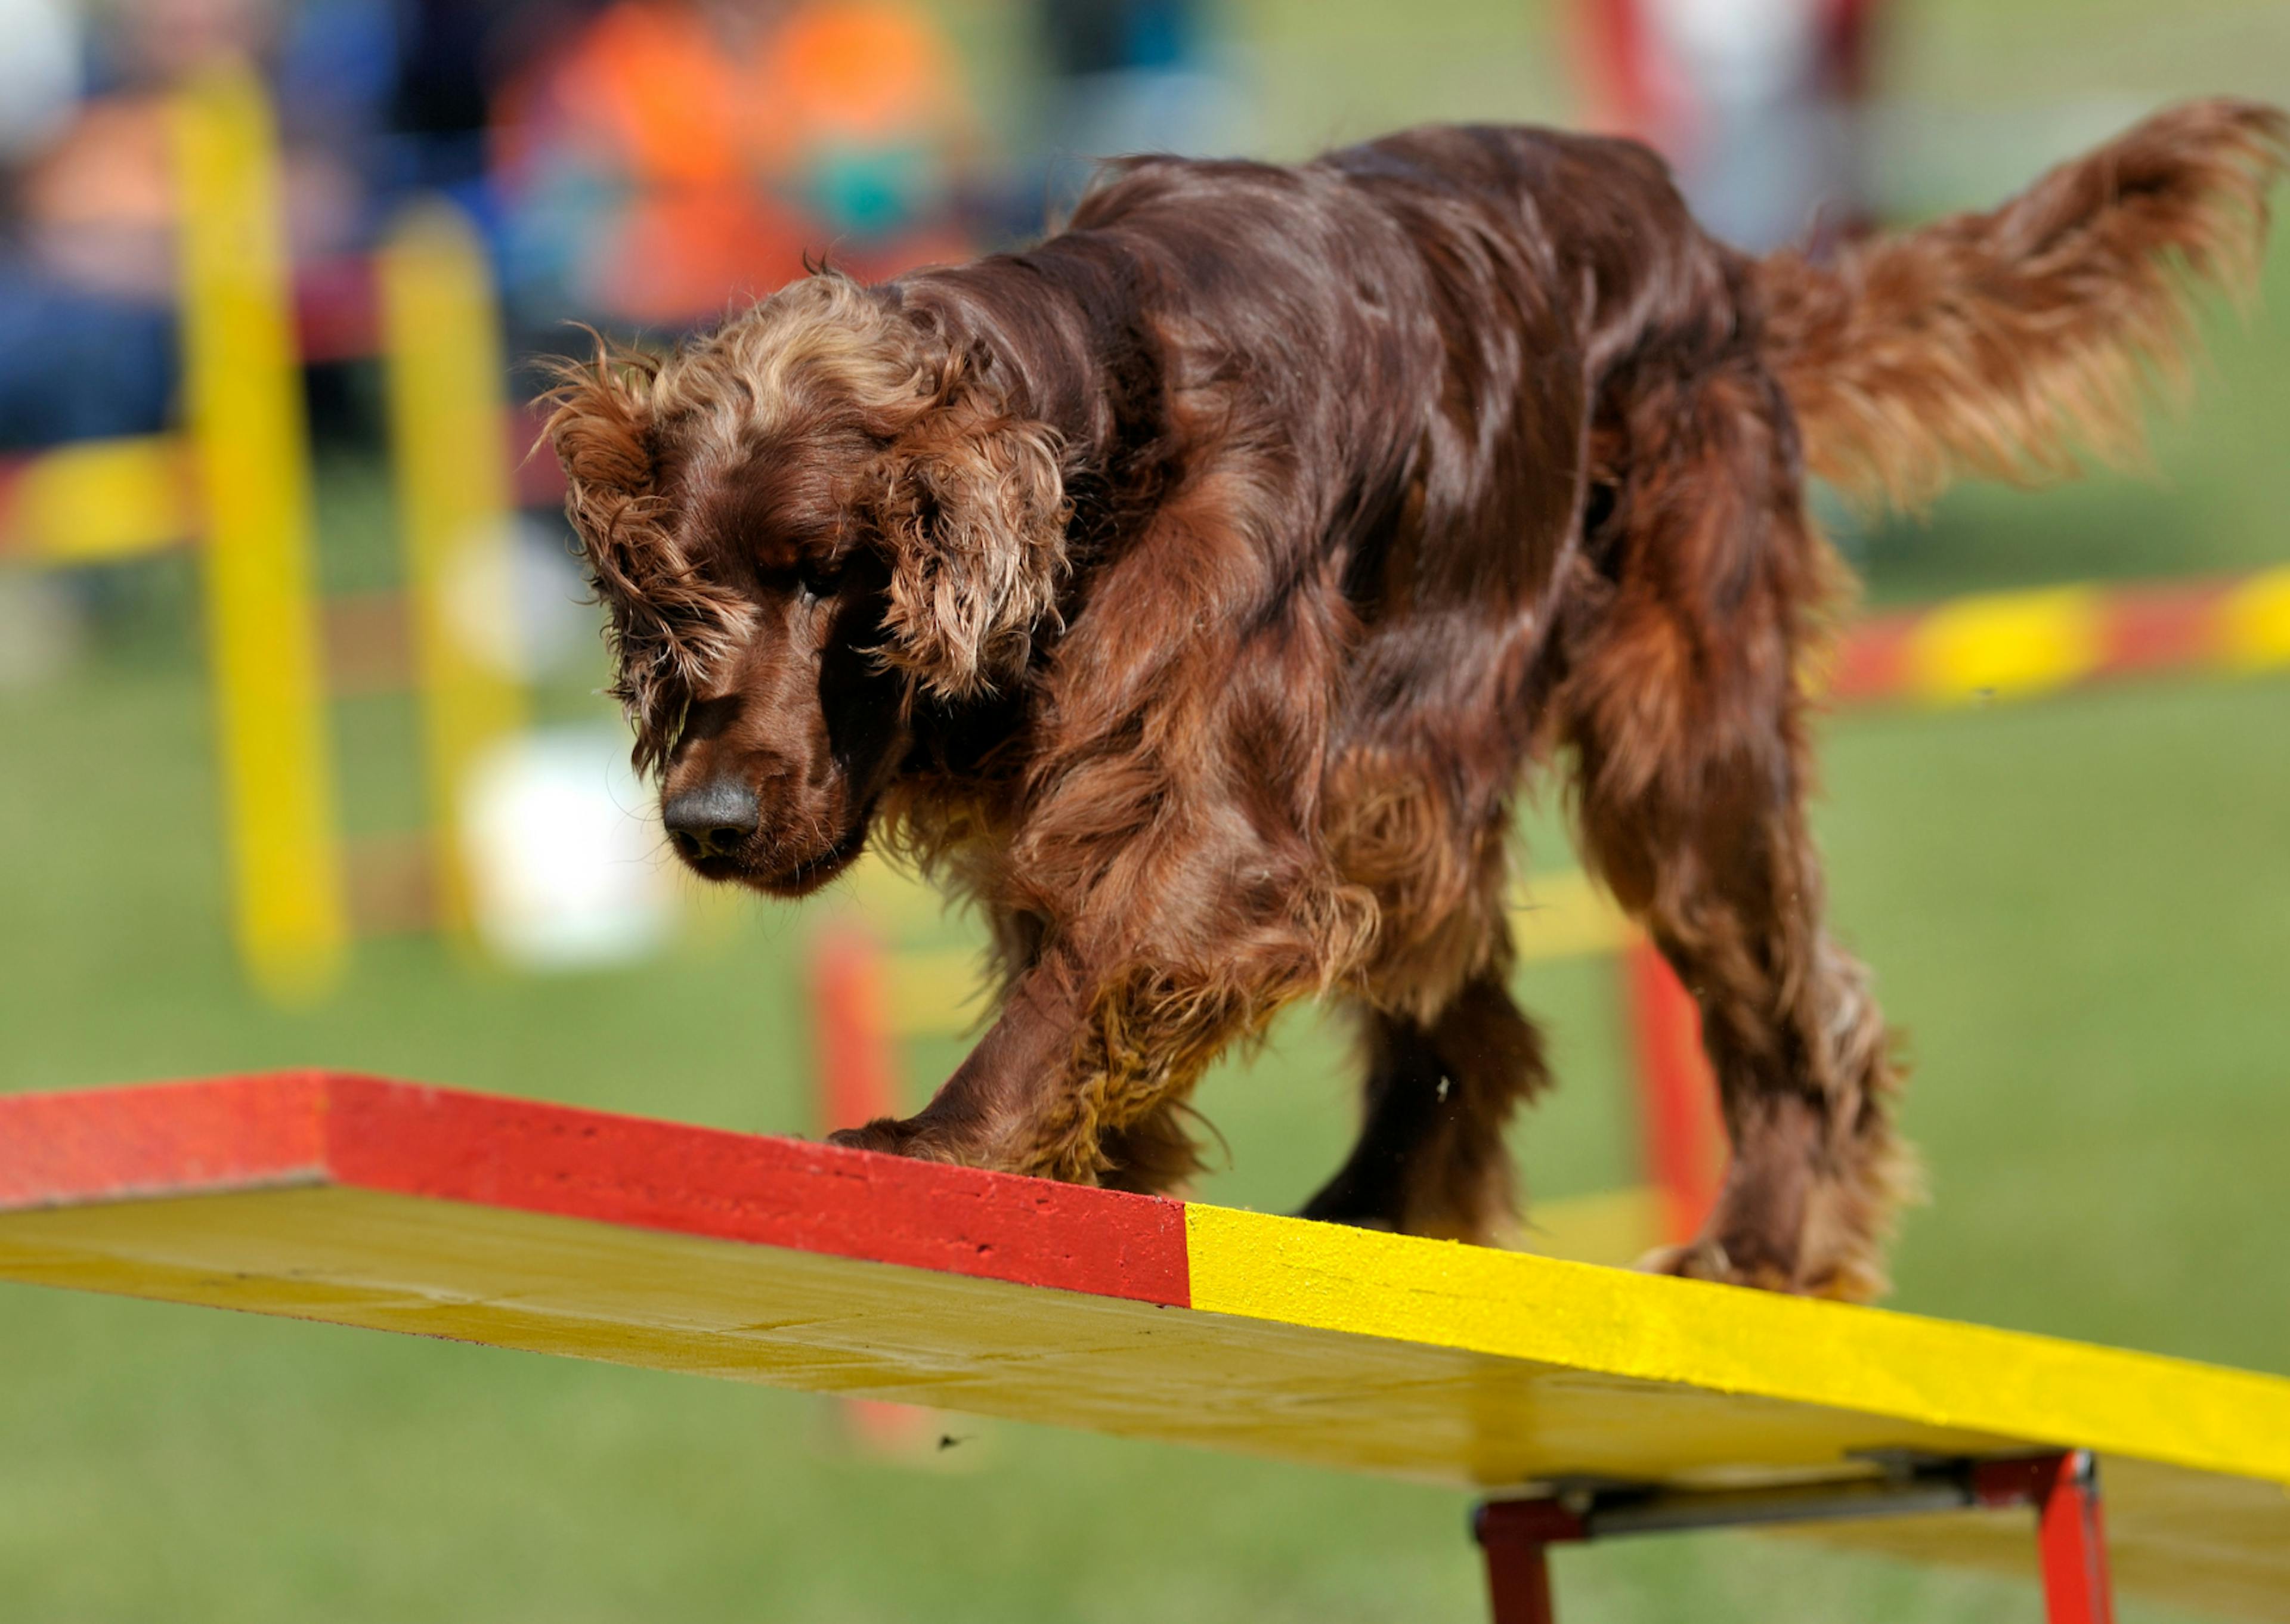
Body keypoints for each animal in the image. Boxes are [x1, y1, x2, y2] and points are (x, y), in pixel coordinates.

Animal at [544, 101, 2280, 1301]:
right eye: (677, 598)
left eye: (833, 574)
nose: (704, 821)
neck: (1112, 412)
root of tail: (1709, 250)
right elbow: (1083, 964)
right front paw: (1092, 1162)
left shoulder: (1220, 819)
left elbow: (1090, 964)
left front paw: (946, 1147)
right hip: (1418, 780)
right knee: (1475, 1011)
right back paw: (1374, 1214)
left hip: (1672, 741)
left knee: (1796, 1006)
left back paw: (1753, 1247)